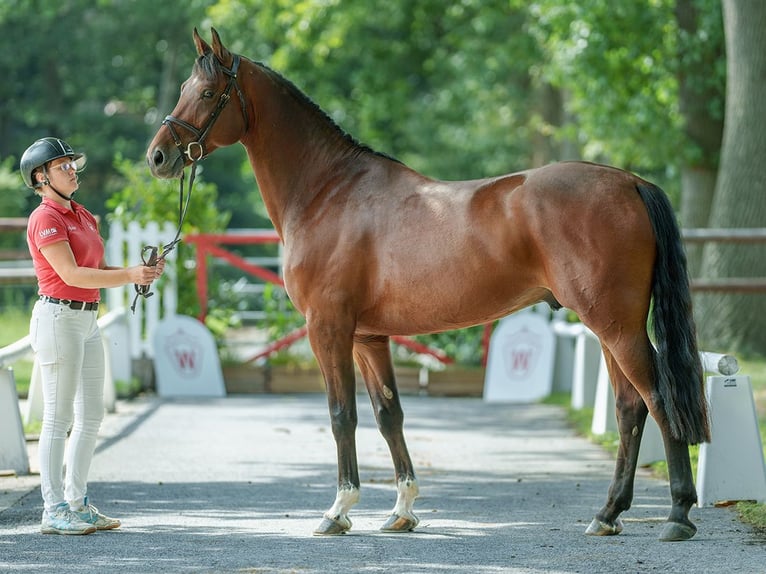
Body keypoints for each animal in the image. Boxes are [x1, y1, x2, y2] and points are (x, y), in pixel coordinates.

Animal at [147, 28, 712, 544]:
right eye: (184, 86)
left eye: (206, 93)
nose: (158, 157)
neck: (327, 191)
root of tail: (630, 182)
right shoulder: (368, 337)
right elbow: (388, 414)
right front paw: (402, 511)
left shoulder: (328, 329)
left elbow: (342, 415)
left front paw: (338, 511)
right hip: (609, 328)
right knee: (629, 408)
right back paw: (608, 514)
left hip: (616, 326)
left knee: (658, 400)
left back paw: (678, 515)